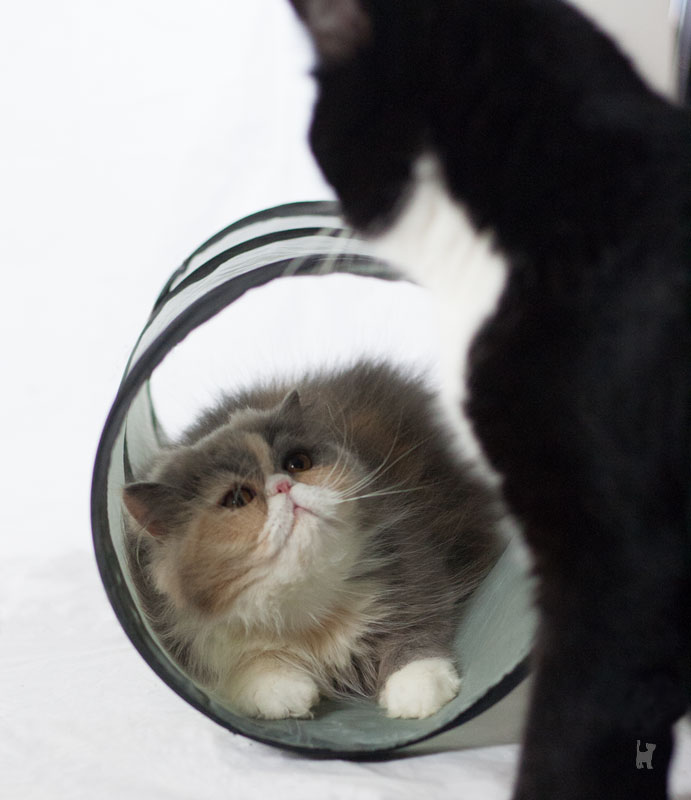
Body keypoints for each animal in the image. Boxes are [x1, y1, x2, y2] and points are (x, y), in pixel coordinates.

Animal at [123, 360, 502, 720]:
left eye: (297, 463)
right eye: (237, 499)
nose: (283, 486)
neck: (309, 609)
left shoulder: (412, 566)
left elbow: (414, 631)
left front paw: (417, 689)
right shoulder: (200, 638)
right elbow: (252, 664)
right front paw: (285, 694)